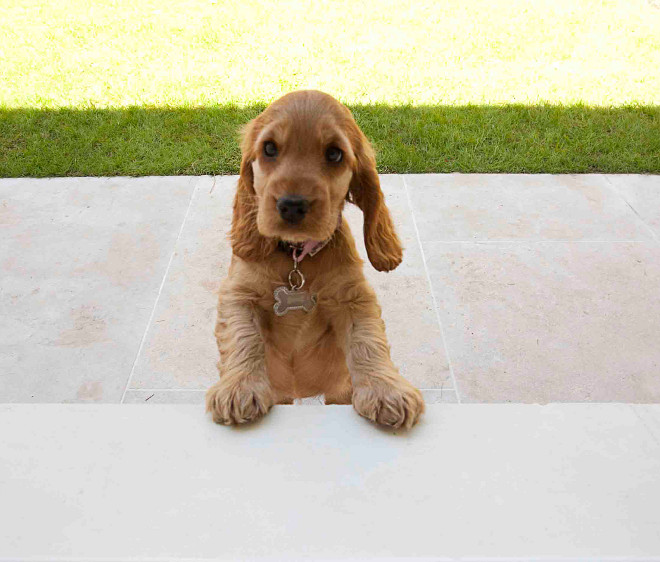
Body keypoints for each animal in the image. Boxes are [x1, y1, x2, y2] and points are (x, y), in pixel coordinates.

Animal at [204, 89, 426, 426]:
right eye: (269, 148)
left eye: (334, 154)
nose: (292, 205)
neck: (297, 256)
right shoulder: (238, 294)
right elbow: (244, 337)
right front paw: (239, 388)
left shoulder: (355, 298)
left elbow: (367, 340)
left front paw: (386, 391)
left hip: (340, 391)